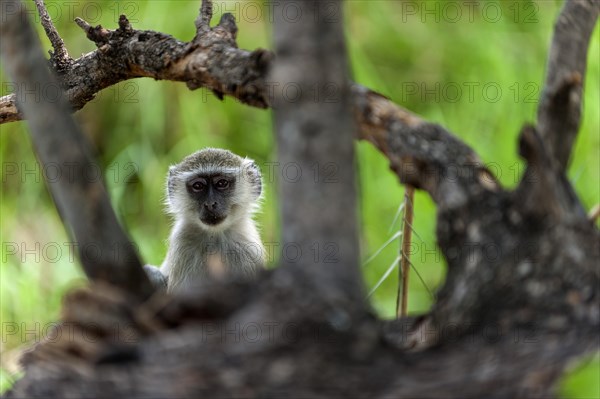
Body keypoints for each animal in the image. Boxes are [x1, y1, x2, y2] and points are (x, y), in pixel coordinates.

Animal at [143, 148, 264, 292]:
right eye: (198, 186)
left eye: (222, 183)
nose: (210, 204)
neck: (214, 235)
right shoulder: (182, 242)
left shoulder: (249, 249)